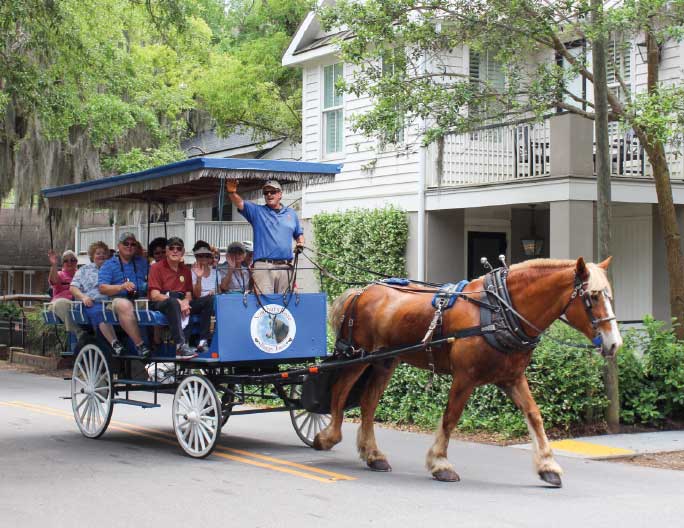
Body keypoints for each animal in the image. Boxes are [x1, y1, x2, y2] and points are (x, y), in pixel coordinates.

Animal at [312, 256, 624, 486]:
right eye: (592, 297)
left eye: (610, 296)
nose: (614, 343)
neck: (500, 310)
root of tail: (363, 290)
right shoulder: (465, 377)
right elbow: (450, 417)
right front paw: (440, 463)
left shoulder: (511, 377)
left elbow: (534, 415)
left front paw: (548, 465)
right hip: (358, 356)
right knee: (340, 389)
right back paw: (328, 437)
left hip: (385, 361)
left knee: (368, 403)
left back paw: (373, 454)